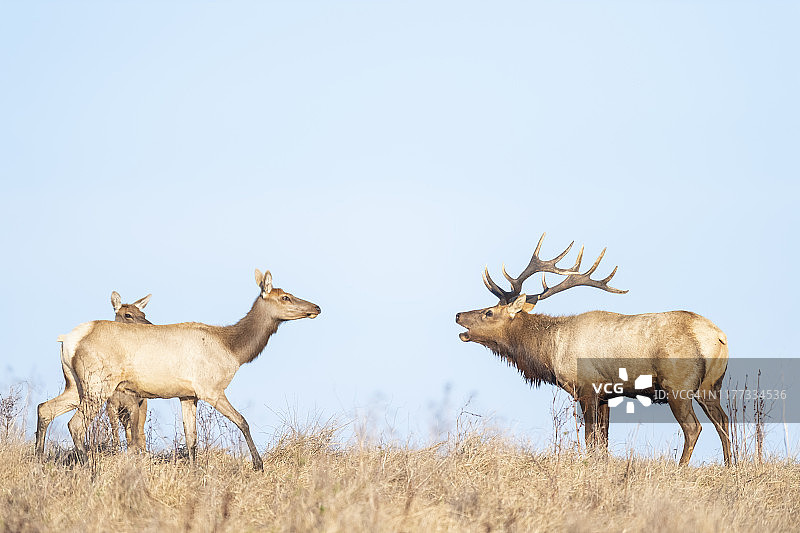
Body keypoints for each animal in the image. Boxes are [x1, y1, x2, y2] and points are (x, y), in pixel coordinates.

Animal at [35, 291, 153, 456]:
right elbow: (119, 434)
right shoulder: (112, 406)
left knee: (45, 408)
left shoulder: (134, 405)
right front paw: (118, 452)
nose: (151, 326)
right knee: (60, 416)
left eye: (143, 313)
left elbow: (135, 435)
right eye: (128, 314)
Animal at [455, 234, 731, 466]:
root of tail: (719, 336)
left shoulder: (587, 388)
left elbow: (590, 438)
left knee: (693, 427)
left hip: (677, 385)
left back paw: (681, 468)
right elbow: (603, 438)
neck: (550, 352)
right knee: (724, 420)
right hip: (710, 386)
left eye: (488, 312)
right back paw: (731, 466)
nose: (458, 315)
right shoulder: (606, 395)